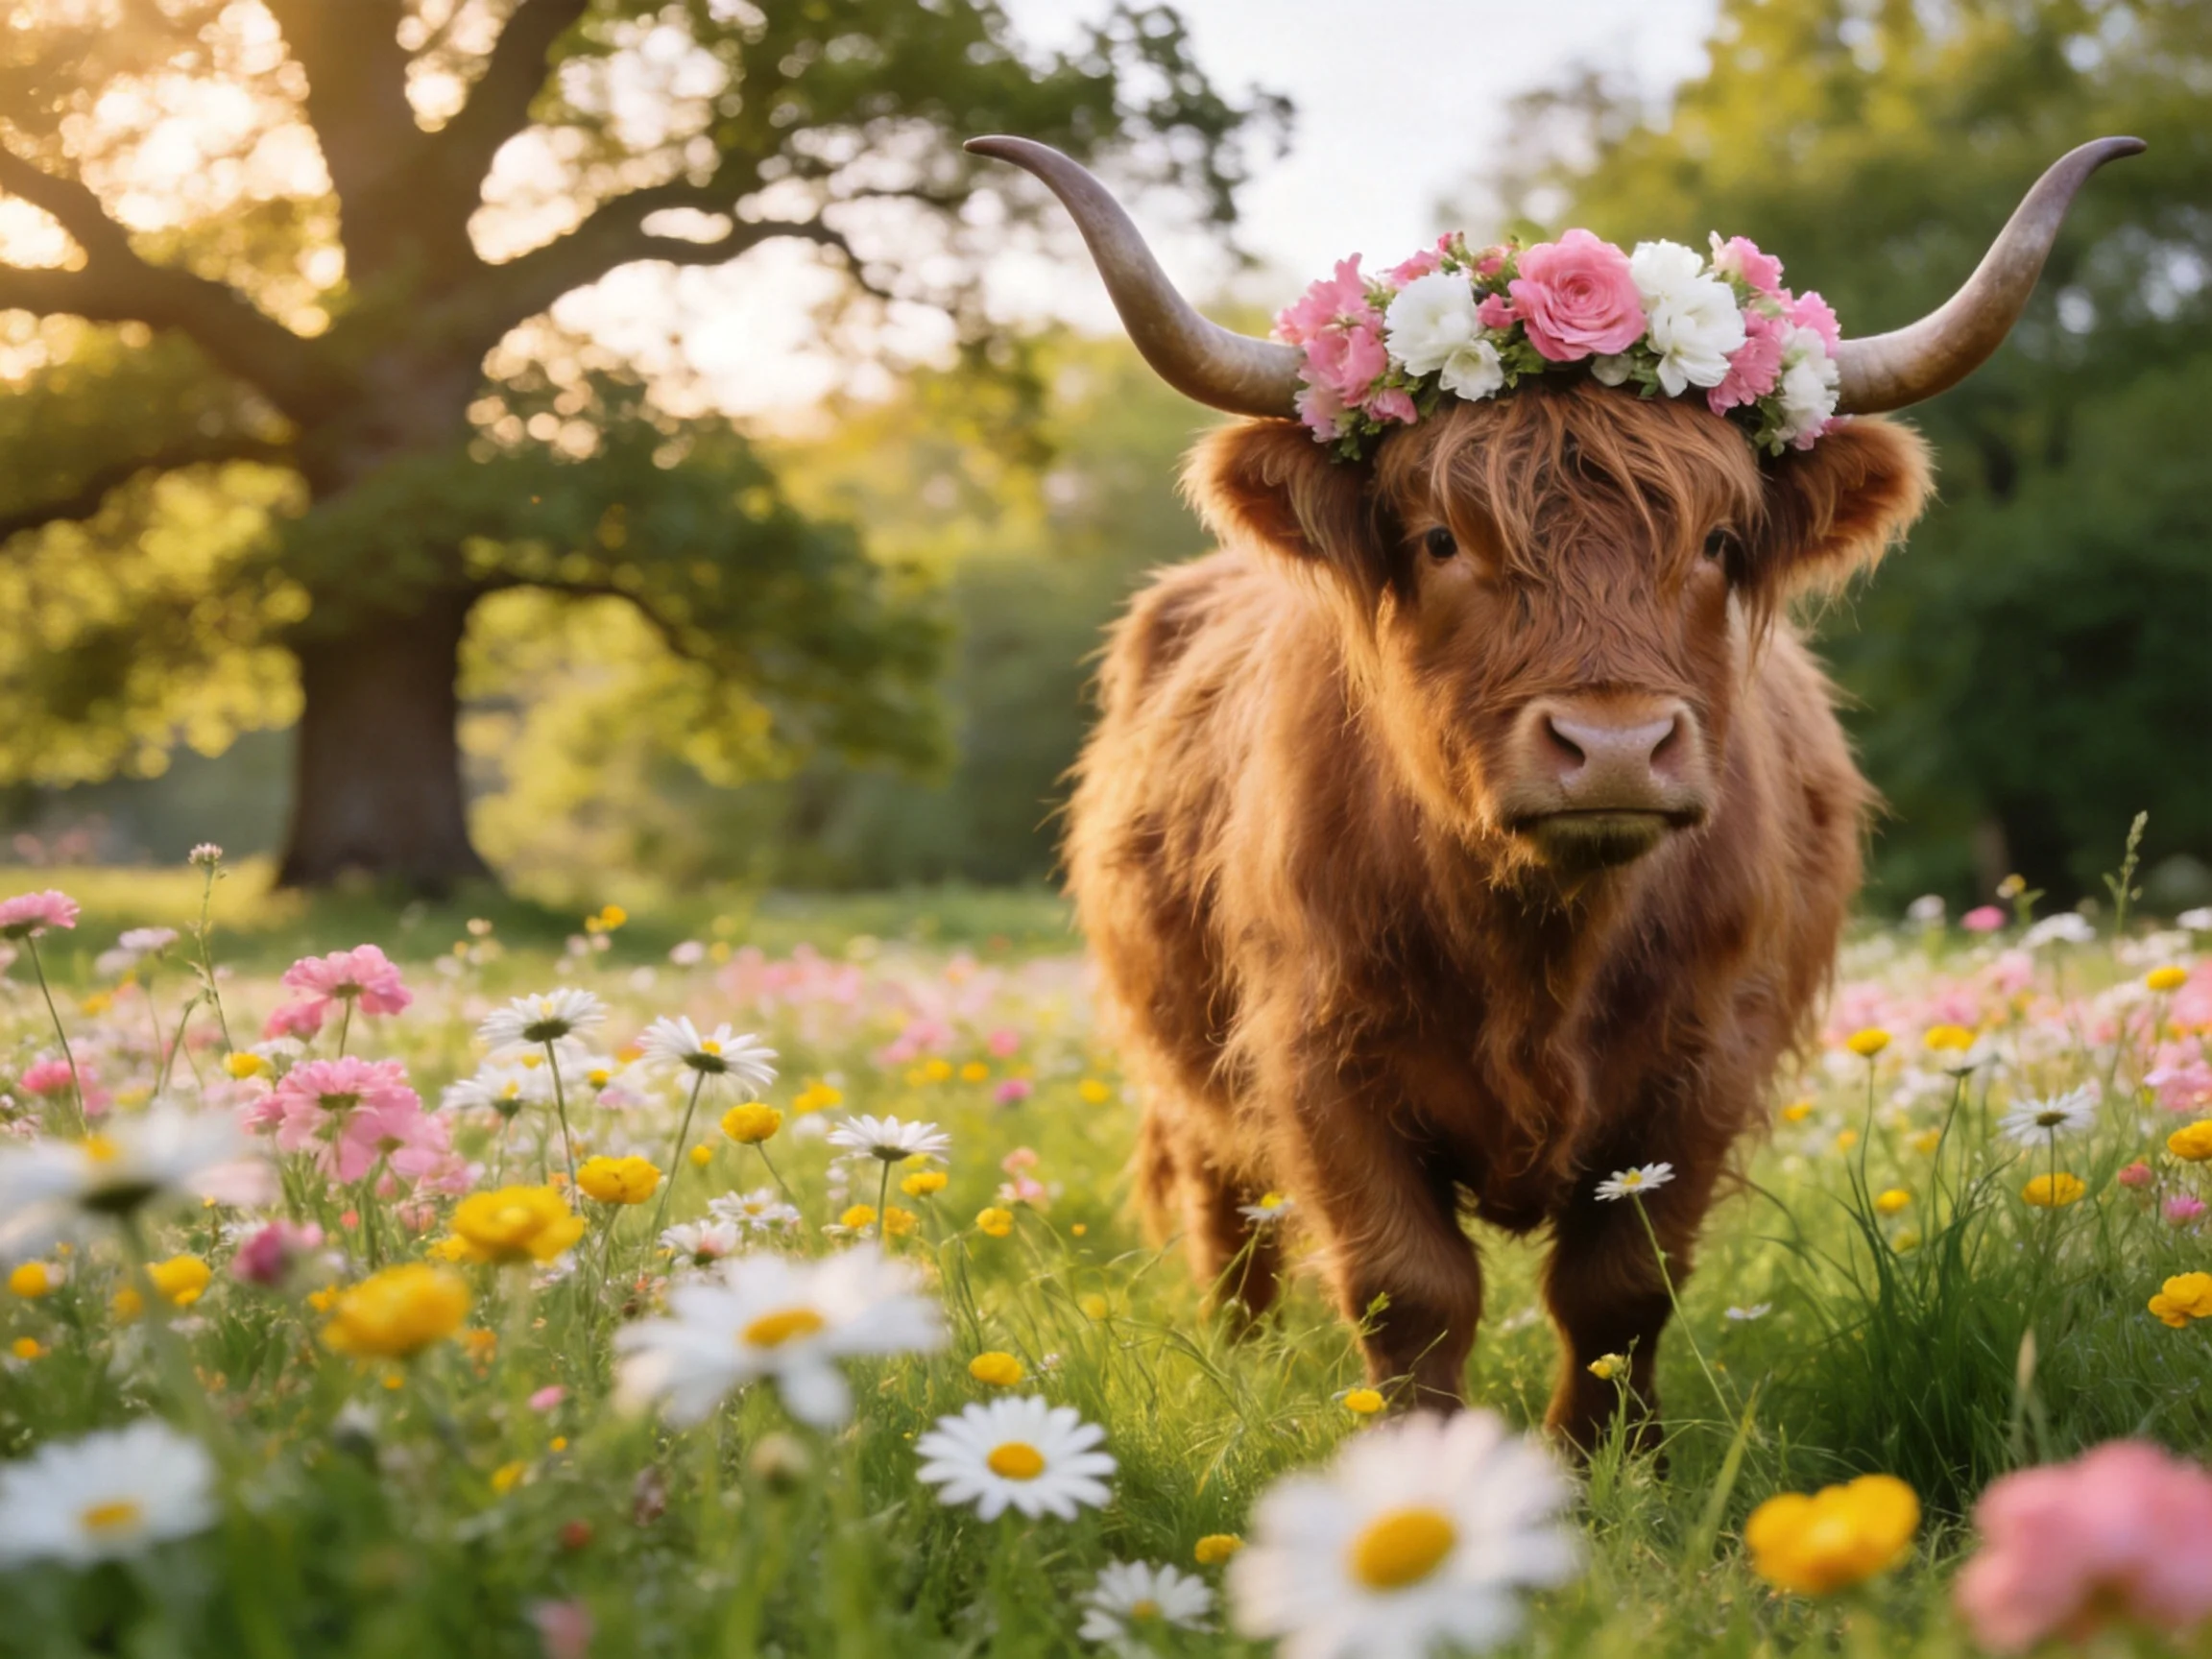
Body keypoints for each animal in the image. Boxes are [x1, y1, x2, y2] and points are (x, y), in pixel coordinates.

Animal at [966, 134, 2141, 1446]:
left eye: (1719, 542)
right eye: (1441, 538)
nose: (1615, 744)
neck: (1537, 938)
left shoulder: (1703, 1063)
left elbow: (1621, 1286)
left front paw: (1606, 1464)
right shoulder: (1316, 1058)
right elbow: (1409, 1287)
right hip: (1186, 1070)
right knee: (1229, 1233)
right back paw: (1247, 1375)